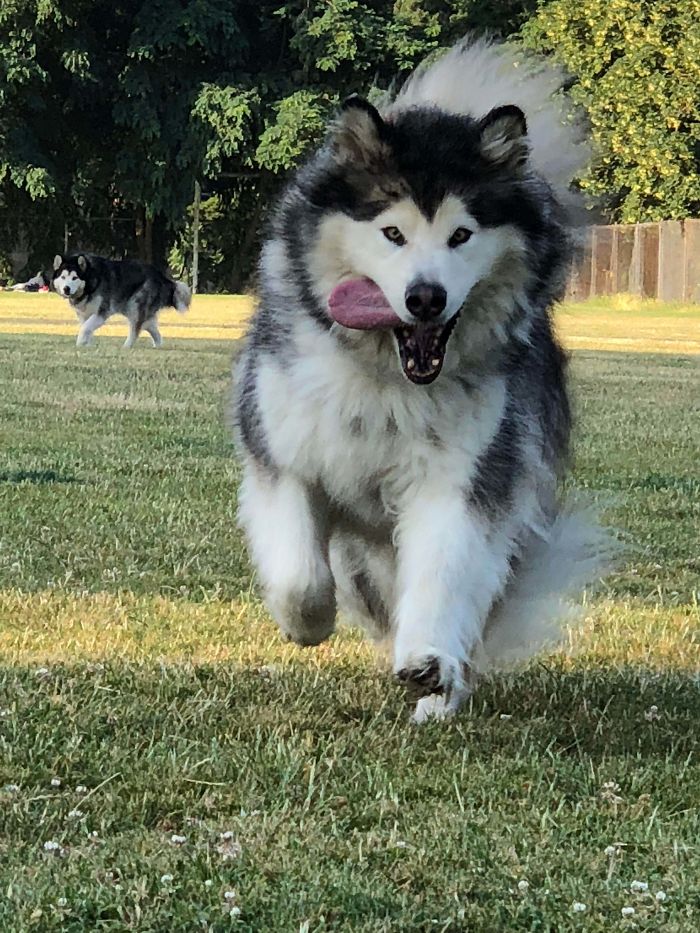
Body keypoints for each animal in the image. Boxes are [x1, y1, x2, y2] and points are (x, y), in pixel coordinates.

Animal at [51, 251, 191, 346]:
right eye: (63, 277)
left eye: (74, 278)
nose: (66, 289)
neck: (91, 281)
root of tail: (160, 275)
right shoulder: (84, 314)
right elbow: (87, 328)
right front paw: (87, 345)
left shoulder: (102, 312)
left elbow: (85, 328)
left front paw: (80, 343)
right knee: (150, 326)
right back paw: (158, 346)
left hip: (135, 306)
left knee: (136, 329)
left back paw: (126, 346)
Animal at [234, 38, 600, 720]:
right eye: (392, 233)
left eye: (461, 235)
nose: (425, 298)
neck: (388, 380)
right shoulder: (284, 453)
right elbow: (300, 575)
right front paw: (308, 623)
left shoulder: (462, 477)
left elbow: (442, 572)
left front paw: (429, 662)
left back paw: (439, 692)